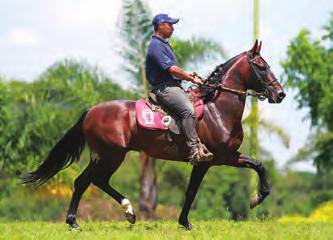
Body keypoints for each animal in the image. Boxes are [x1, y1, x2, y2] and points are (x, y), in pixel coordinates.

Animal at [20, 39, 286, 231]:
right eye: (262, 66)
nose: (280, 94)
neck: (217, 108)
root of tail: (90, 112)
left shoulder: (220, 158)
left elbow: (252, 167)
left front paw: (185, 222)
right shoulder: (218, 158)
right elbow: (250, 168)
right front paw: (255, 198)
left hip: (101, 156)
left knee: (83, 182)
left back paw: (77, 221)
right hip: (111, 155)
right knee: (96, 181)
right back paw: (125, 211)